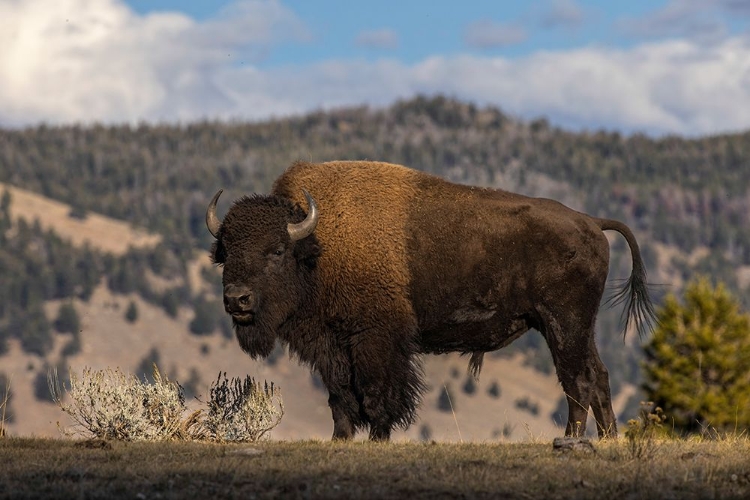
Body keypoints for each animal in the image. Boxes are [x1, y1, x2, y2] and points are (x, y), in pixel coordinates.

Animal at [207, 160, 656, 442]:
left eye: (276, 250)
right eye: (225, 251)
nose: (237, 300)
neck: (318, 245)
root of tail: (591, 222)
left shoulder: (377, 341)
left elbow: (378, 393)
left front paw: (379, 438)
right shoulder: (331, 344)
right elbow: (341, 396)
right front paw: (341, 438)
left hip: (564, 325)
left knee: (578, 379)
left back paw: (572, 440)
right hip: (573, 328)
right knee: (596, 377)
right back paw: (607, 439)